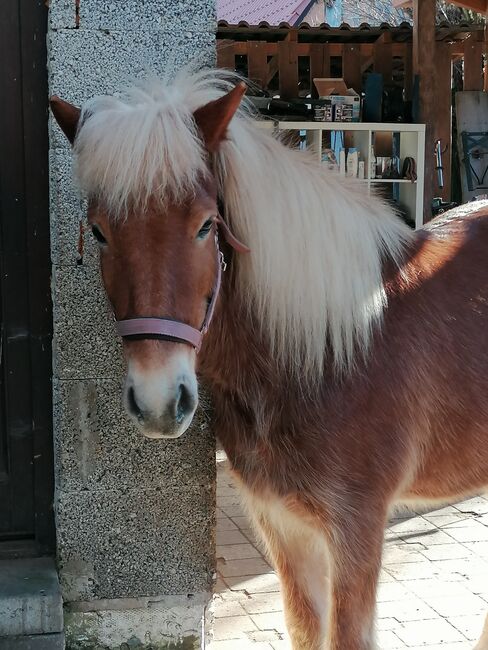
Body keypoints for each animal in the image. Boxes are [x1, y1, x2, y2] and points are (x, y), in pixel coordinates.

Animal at [51, 71, 488, 648]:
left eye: (206, 225)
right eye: (100, 231)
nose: (159, 402)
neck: (325, 355)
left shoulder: (357, 531)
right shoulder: (283, 525)